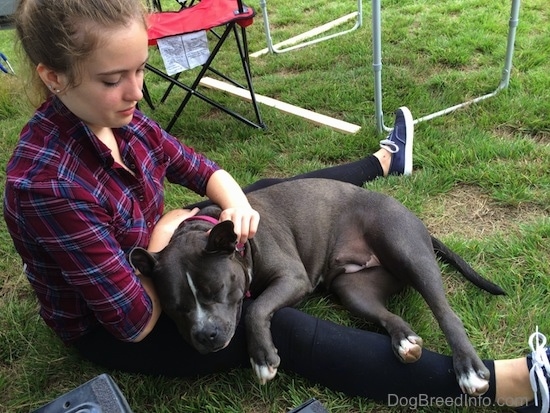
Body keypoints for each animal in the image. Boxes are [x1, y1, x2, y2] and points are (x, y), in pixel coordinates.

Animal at [132, 177, 506, 396]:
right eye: (175, 308)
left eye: (218, 290)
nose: (206, 335)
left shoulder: (292, 277)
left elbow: (256, 308)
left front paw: (262, 358)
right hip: (354, 290)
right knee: (390, 317)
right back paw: (404, 342)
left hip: (405, 248)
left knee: (446, 312)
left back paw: (469, 370)